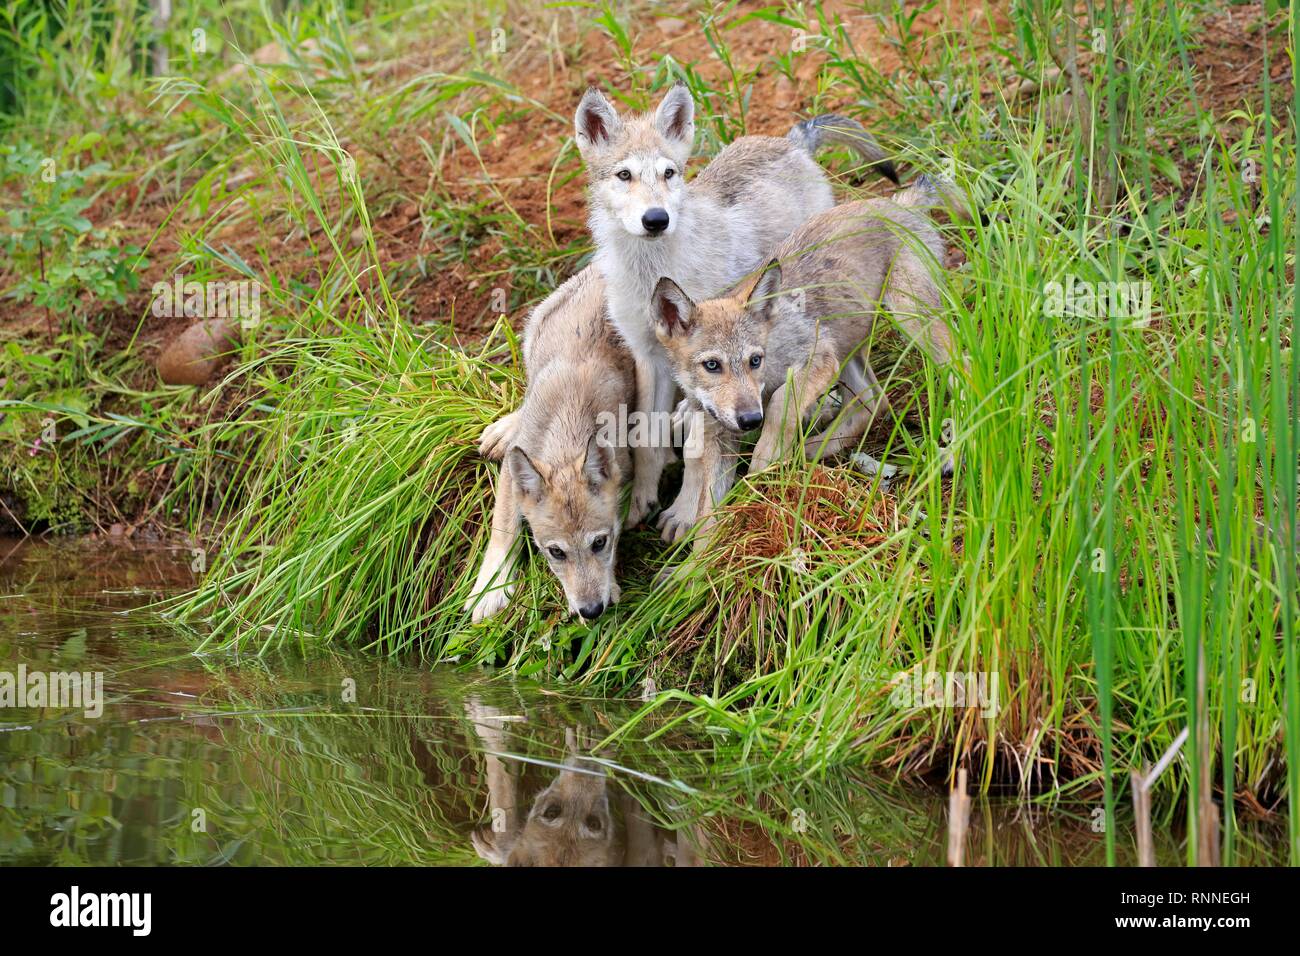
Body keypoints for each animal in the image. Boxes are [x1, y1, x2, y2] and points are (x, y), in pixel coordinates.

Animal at [465, 266, 634, 623]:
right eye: (556, 552)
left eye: (599, 543)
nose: (592, 610)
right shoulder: (511, 475)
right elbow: (503, 530)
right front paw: (491, 589)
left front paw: (609, 585)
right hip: (533, 329)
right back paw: (504, 430)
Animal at [574, 83, 897, 539]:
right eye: (624, 175)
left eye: (669, 173)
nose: (656, 219)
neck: (652, 269)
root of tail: (791, 141)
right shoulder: (651, 357)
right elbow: (648, 439)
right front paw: (642, 500)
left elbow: (700, 449)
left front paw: (685, 513)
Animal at [650, 176, 966, 531]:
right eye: (712, 365)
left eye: (755, 361)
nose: (750, 419)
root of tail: (900, 201)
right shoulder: (719, 434)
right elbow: (707, 521)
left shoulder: (820, 359)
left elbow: (779, 404)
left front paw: (763, 467)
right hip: (848, 342)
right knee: (873, 399)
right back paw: (810, 451)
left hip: (909, 319)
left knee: (965, 374)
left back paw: (952, 454)